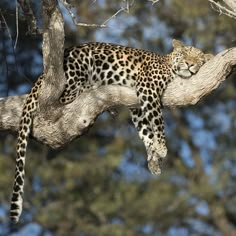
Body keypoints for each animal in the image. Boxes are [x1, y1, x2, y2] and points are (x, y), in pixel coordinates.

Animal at [9, 38, 212, 221]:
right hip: (80, 67)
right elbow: (158, 120)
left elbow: (145, 130)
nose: (190, 64)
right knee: (65, 97)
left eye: (199, 59)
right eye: (185, 53)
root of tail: (42, 76)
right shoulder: (148, 88)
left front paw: (153, 158)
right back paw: (91, 88)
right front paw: (161, 148)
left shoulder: (137, 106)